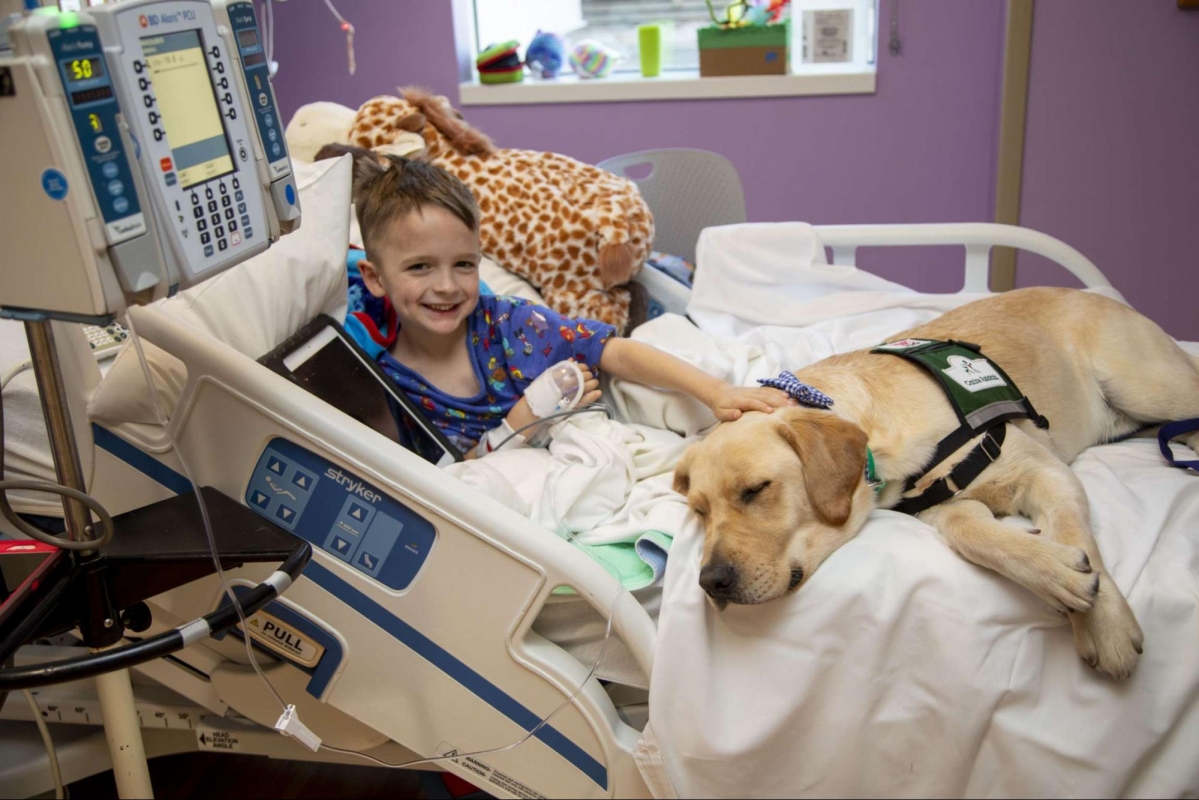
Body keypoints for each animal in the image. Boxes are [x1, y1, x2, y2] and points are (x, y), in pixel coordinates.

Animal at [676, 287, 1199, 676]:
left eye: (756, 490)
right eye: (699, 511)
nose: (710, 581)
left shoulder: (1045, 471)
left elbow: (1074, 531)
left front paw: (1103, 624)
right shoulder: (945, 506)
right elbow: (975, 535)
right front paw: (1051, 569)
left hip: (1147, 386)